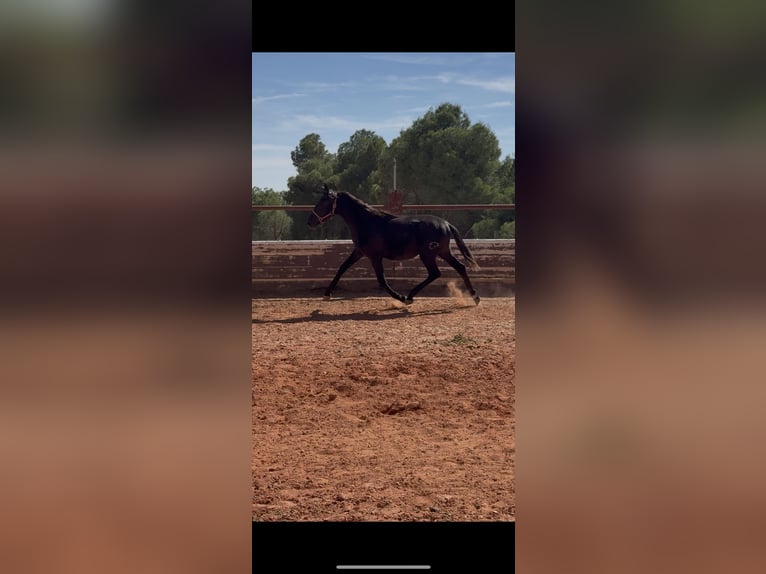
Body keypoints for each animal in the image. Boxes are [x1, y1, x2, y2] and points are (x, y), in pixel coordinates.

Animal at [307, 184, 481, 305]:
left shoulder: (375, 256)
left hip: (428, 254)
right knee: (459, 267)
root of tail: (445, 223)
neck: (367, 222)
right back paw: (475, 297)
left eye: (324, 202)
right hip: (443, 252)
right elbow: (342, 268)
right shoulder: (359, 252)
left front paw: (400, 297)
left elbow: (382, 280)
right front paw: (326, 294)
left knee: (435, 273)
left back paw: (409, 297)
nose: (310, 221)